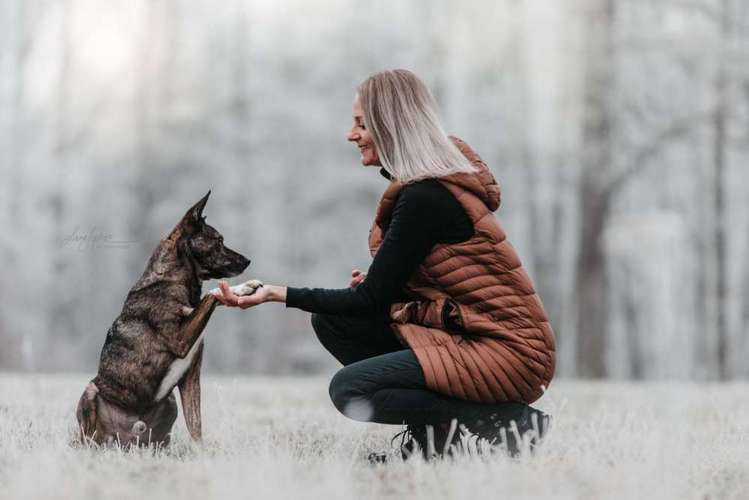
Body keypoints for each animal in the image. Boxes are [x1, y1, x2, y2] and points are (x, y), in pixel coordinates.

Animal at [76, 191, 262, 446]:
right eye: (219, 240)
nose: (247, 260)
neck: (172, 280)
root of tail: (127, 438)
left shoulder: (191, 374)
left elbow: (196, 426)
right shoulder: (181, 339)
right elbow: (212, 294)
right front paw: (239, 289)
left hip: (170, 403)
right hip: (90, 392)